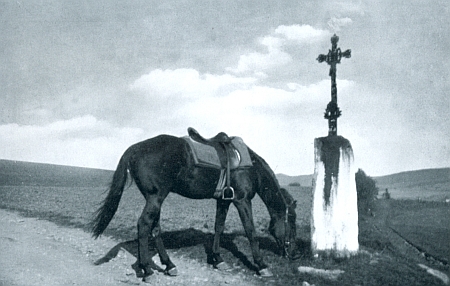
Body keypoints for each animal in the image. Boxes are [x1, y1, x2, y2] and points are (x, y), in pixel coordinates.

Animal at [89, 134, 298, 282]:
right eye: (292, 222)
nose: (295, 255)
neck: (251, 167)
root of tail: (134, 148)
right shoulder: (242, 200)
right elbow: (251, 231)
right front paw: (261, 265)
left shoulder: (224, 200)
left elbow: (218, 227)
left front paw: (218, 259)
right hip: (156, 197)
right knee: (144, 225)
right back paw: (147, 270)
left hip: (154, 198)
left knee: (155, 228)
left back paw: (168, 265)